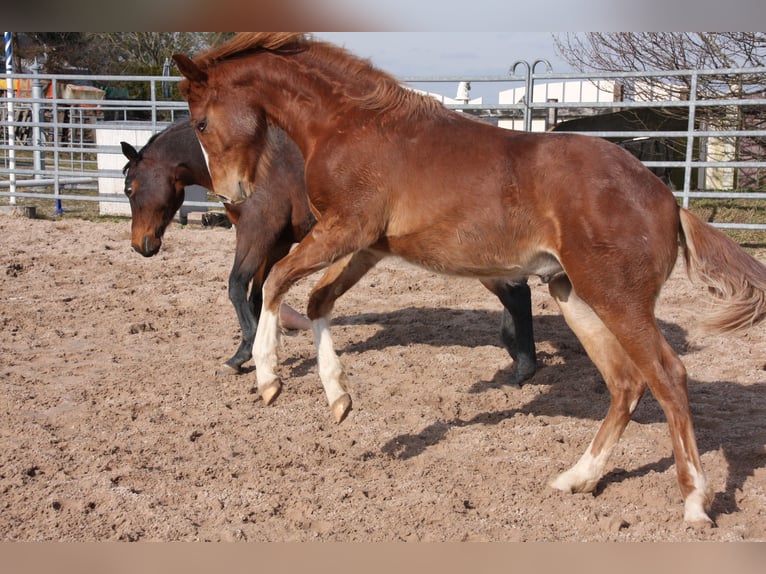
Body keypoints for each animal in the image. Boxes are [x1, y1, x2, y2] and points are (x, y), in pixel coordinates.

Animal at [120, 121, 540, 384]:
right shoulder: (277, 243)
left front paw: (245, 354)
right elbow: (258, 296)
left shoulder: (257, 234)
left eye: (128, 188)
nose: (141, 245)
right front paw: (253, 352)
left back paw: (522, 367)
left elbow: (237, 289)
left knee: (517, 291)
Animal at [174, 31, 766, 528]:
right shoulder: (365, 246)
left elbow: (276, 280)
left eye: (200, 121)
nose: (231, 194)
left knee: (668, 377)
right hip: (572, 294)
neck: (349, 125)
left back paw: (694, 502)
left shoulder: (346, 230)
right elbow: (318, 301)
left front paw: (268, 379)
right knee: (625, 383)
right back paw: (577, 478)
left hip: (618, 299)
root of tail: (667, 199)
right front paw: (339, 399)